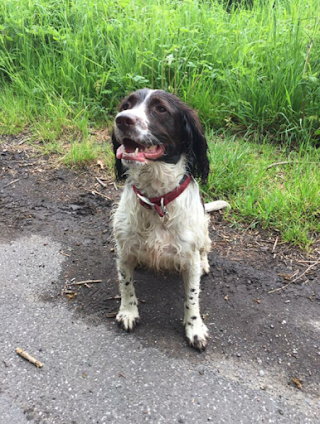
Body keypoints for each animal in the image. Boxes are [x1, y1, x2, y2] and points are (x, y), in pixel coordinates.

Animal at [111, 89, 229, 352]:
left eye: (161, 109)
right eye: (126, 105)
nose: (122, 119)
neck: (157, 200)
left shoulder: (189, 257)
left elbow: (192, 297)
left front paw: (194, 328)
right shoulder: (124, 250)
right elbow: (126, 284)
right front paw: (128, 312)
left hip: (203, 230)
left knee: (206, 249)